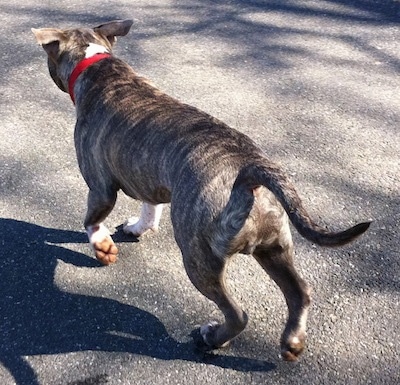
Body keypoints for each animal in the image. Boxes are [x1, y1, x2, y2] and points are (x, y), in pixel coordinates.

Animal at [32, 18, 372, 360]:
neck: (98, 64)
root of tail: (249, 171)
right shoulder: (149, 178)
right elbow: (149, 208)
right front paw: (138, 227)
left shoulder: (100, 186)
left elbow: (91, 220)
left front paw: (102, 247)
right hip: (274, 249)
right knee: (299, 292)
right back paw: (292, 341)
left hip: (199, 259)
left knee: (237, 313)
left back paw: (212, 338)